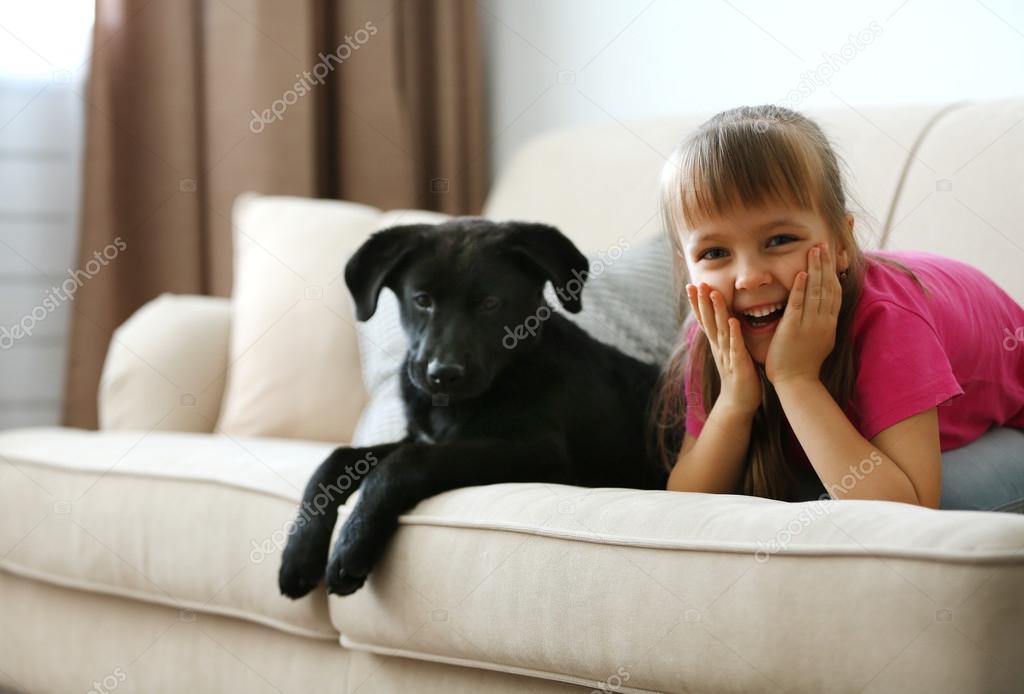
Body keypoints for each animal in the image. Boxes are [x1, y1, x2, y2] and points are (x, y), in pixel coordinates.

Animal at [276, 217, 667, 597]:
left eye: (490, 303)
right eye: (422, 300)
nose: (442, 374)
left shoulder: (539, 452)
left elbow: (403, 463)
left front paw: (351, 548)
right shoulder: (419, 436)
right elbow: (335, 460)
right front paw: (298, 556)